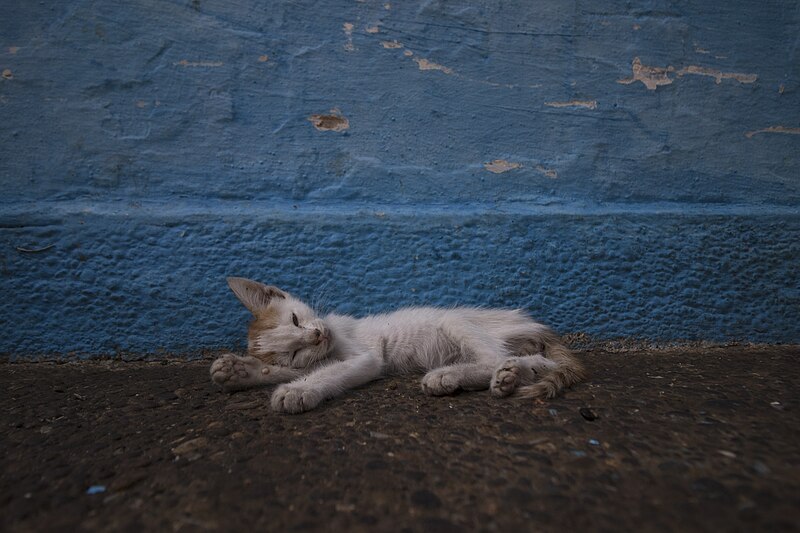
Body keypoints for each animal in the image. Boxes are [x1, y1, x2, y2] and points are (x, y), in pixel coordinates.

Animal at [211, 276, 588, 414]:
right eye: (293, 351)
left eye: (294, 319)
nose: (317, 336)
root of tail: (535, 326)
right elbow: (279, 370)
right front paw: (239, 370)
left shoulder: (365, 357)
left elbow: (333, 372)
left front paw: (299, 390)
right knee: (536, 363)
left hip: (455, 321)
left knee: (498, 357)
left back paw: (469, 375)